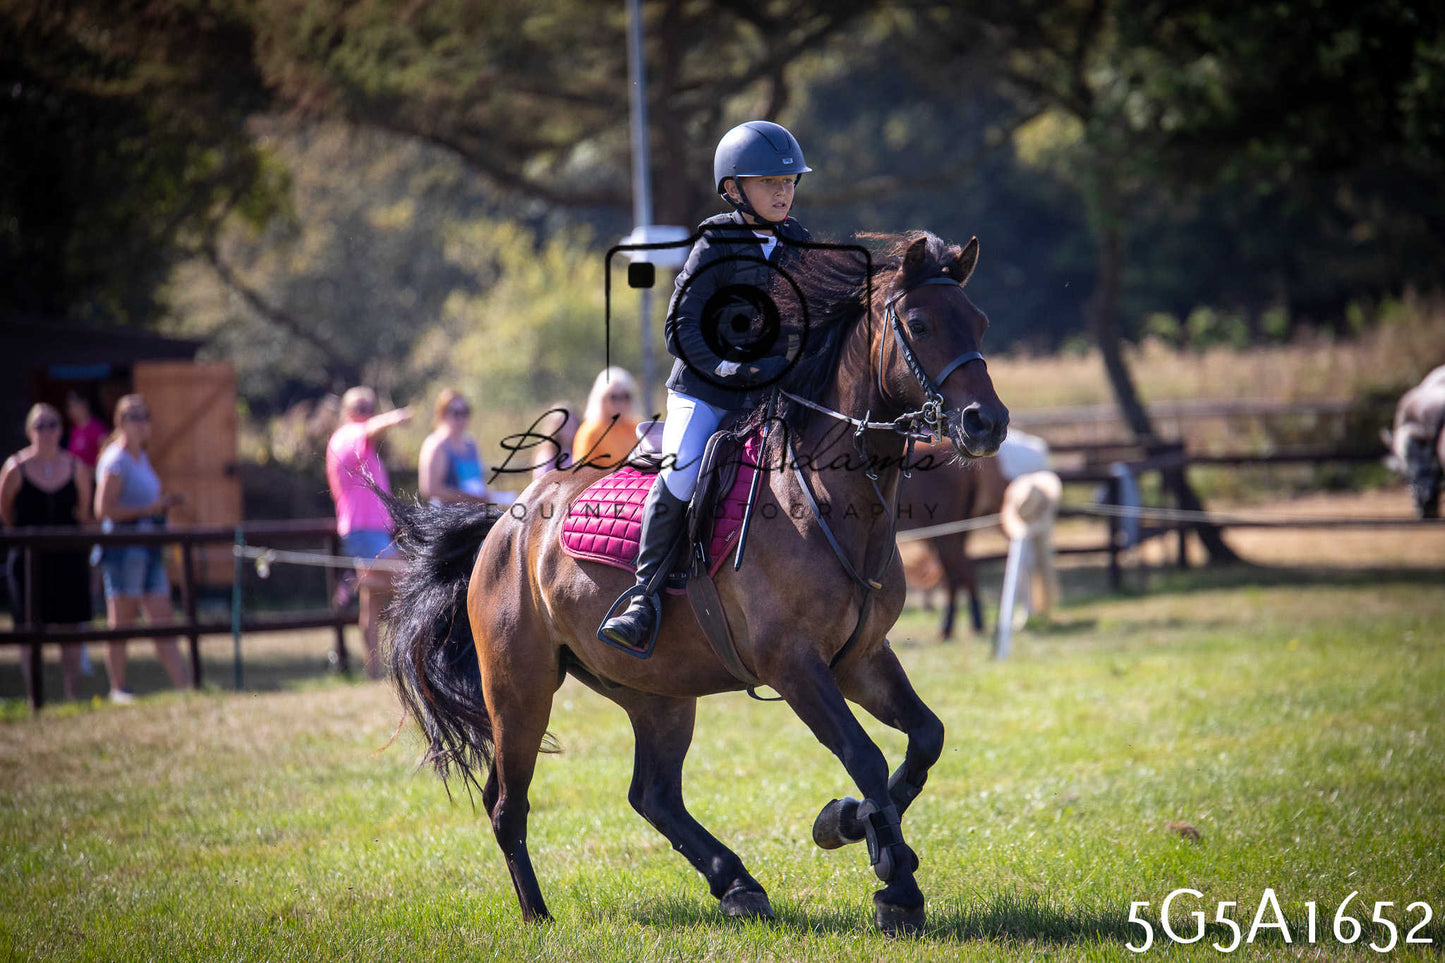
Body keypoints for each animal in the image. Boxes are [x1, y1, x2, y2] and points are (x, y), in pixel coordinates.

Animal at [382, 231, 1009, 935]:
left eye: (980, 322)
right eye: (921, 325)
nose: (988, 423)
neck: (821, 499)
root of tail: (507, 524)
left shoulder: (861, 658)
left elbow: (925, 739)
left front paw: (853, 826)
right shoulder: (795, 666)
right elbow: (865, 755)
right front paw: (894, 880)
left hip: (658, 693)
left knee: (652, 794)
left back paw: (735, 882)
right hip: (520, 688)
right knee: (506, 804)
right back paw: (538, 915)